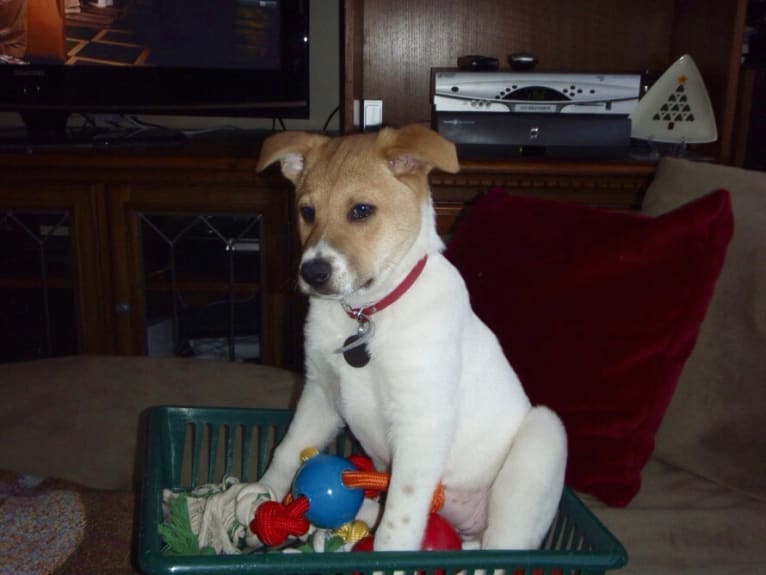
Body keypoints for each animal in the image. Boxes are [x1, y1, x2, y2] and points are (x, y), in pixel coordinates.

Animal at [255, 124, 568, 552]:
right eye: (307, 212)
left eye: (361, 211)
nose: (313, 273)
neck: (367, 316)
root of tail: (468, 532)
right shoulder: (320, 394)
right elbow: (286, 451)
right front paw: (258, 500)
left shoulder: (422, 420)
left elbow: (399, 518)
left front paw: (387, 556)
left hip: (543, 435)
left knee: (504, 548)